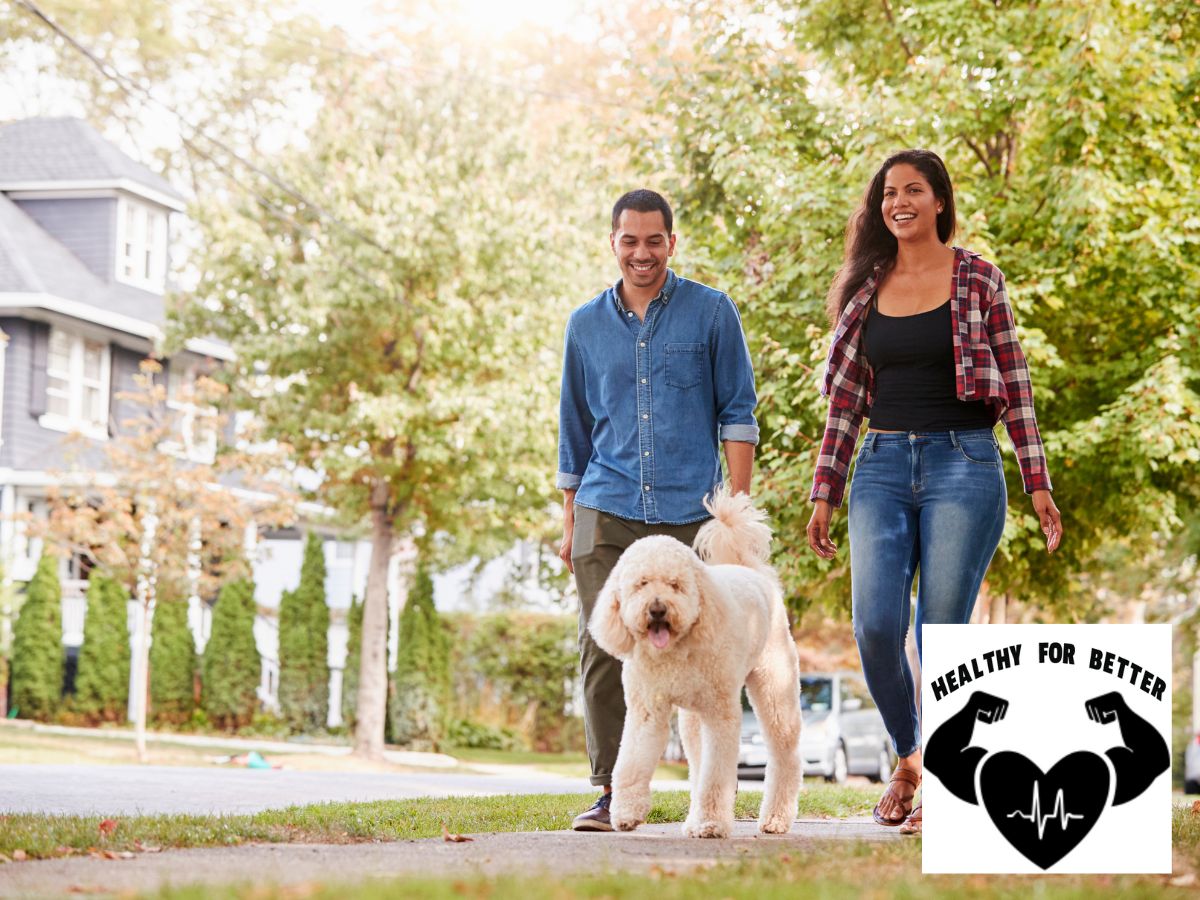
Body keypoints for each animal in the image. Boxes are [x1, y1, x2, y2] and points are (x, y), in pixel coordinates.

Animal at [585, 489, 801, 844]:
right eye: (641, 584)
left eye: (675, 585)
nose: (657, 610)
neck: (675, 650)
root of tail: (752, 571)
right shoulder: (646, 711)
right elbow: (631, 761)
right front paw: (626, 813)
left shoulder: (720, 715)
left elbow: (716, 776)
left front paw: (711, 823)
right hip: (691, 719)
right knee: (698, 763)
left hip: (775, 690)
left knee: (785, 754)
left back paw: (776, 818)